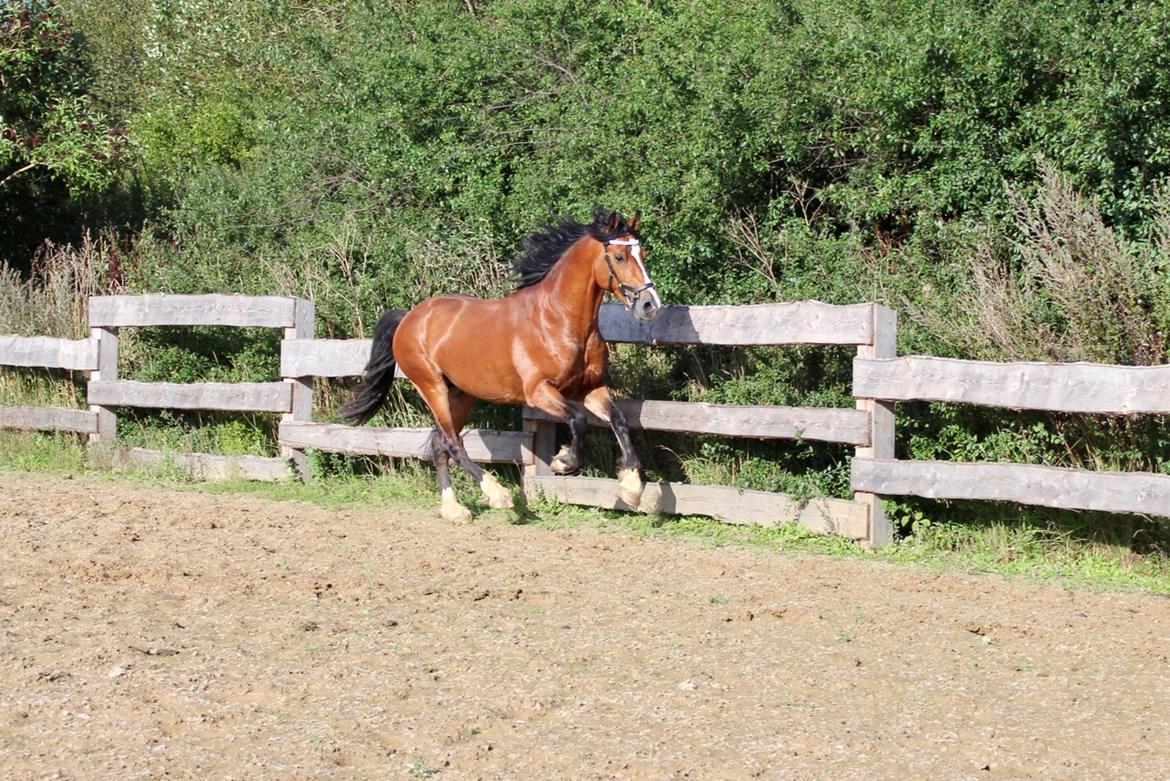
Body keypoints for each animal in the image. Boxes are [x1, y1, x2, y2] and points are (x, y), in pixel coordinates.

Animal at [341, 210, 664, 521]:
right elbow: (578, 421)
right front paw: (563, 462)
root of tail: (409, 317)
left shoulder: (590, 389)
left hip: (461, 393)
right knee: (452, 443)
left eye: (644, 254)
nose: (650, 305)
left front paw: (631, 488)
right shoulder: (539, 392)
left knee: (439, 441)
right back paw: (497, 495)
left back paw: (453, 510)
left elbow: (619, 420)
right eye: (619, 257)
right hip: (432, 387)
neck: (557, 319)